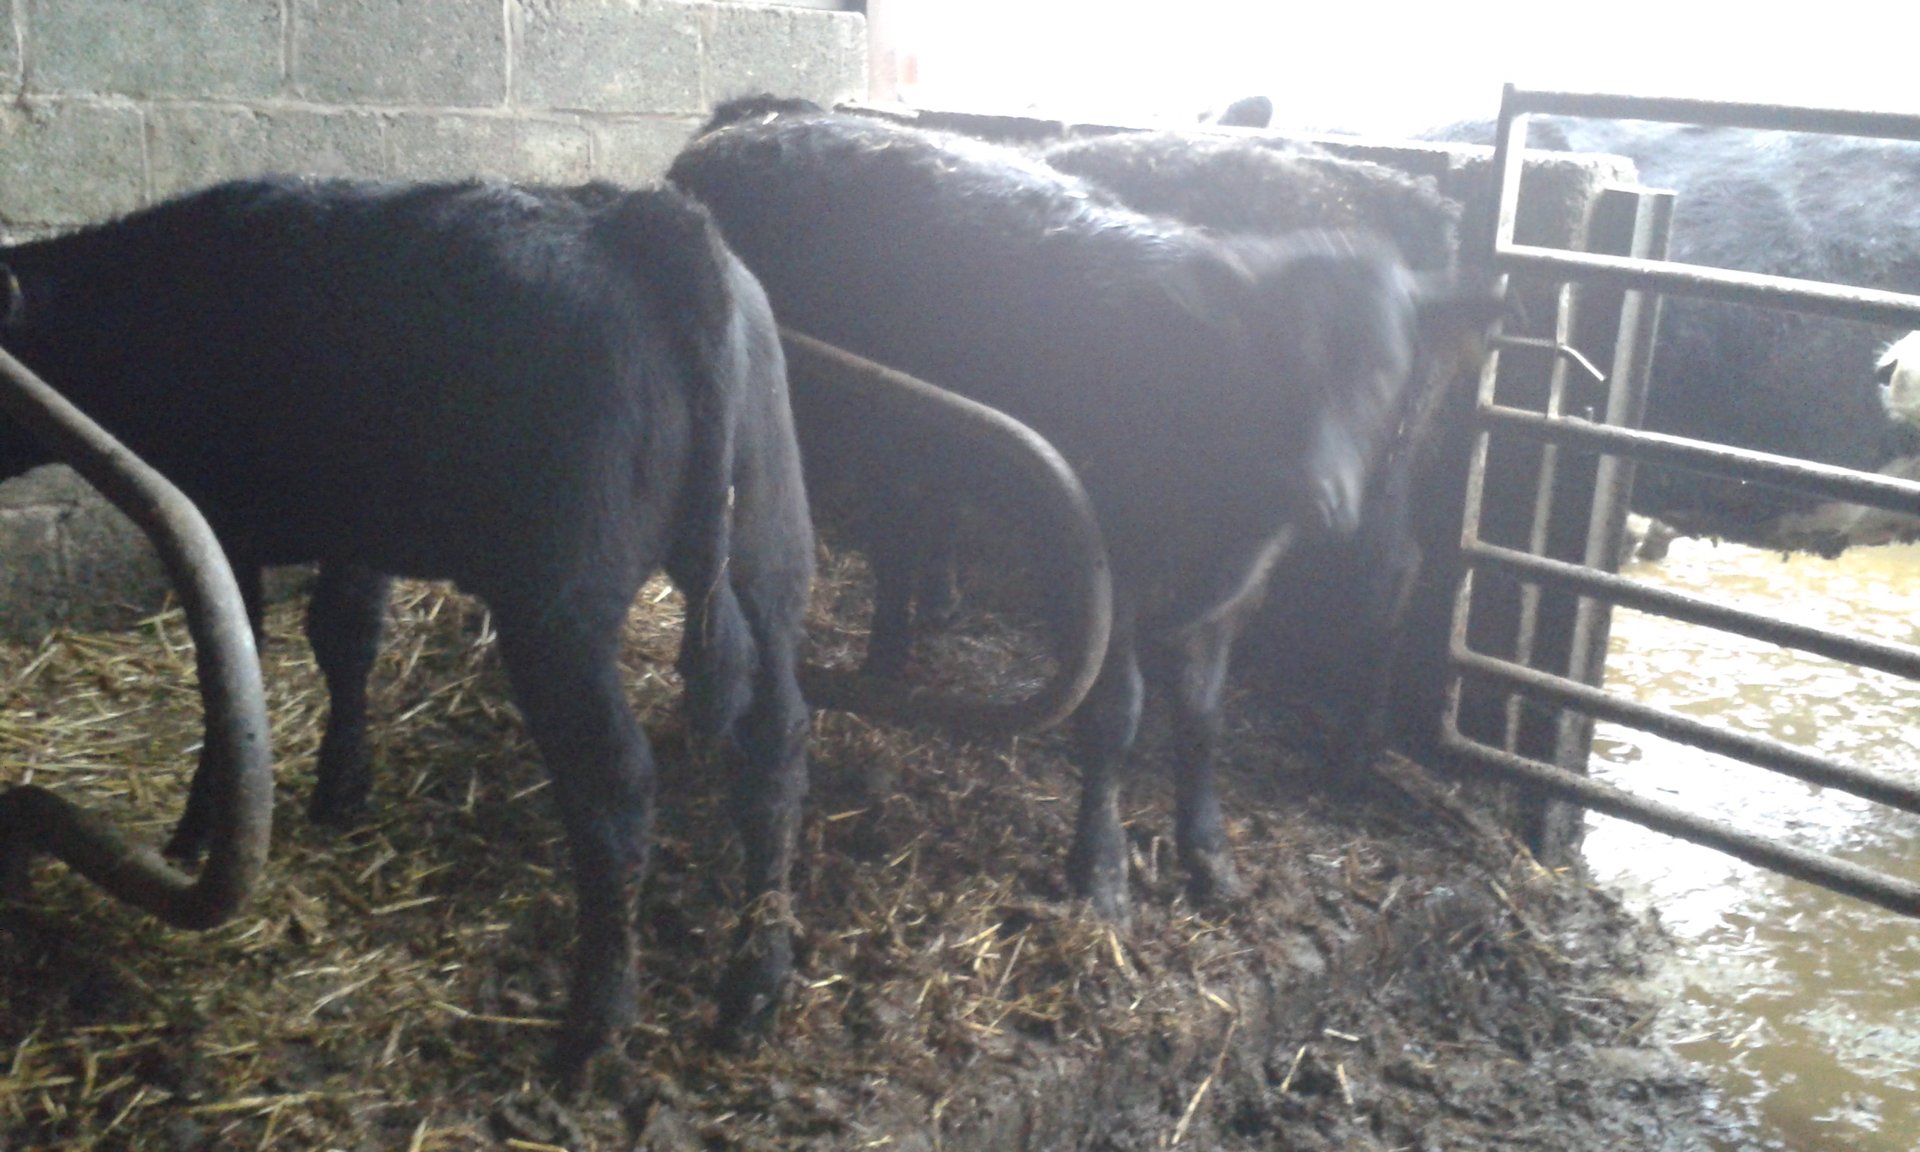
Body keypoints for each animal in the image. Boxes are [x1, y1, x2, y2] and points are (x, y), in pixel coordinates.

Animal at [0, 176, 816, 1072]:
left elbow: (233, 678)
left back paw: (596, 1023)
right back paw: (756, 984)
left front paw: (194, 829)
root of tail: (649, 221)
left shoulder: (219, 524)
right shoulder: (357, 530)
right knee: (773, 747)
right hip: (771, 551)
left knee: (617, 785)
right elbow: (346, 637)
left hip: (559, 609)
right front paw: (342, 785)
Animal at [670, 99, 1499, 922]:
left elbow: (1204, 718)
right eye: (1272, 360)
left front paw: (1210, 854)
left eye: (1383, 370)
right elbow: (1115, 712)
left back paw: (889, 655)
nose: (1320, 496)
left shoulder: (1230, 593)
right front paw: (1101, 868)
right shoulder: (1102, 572)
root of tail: (740, 126)